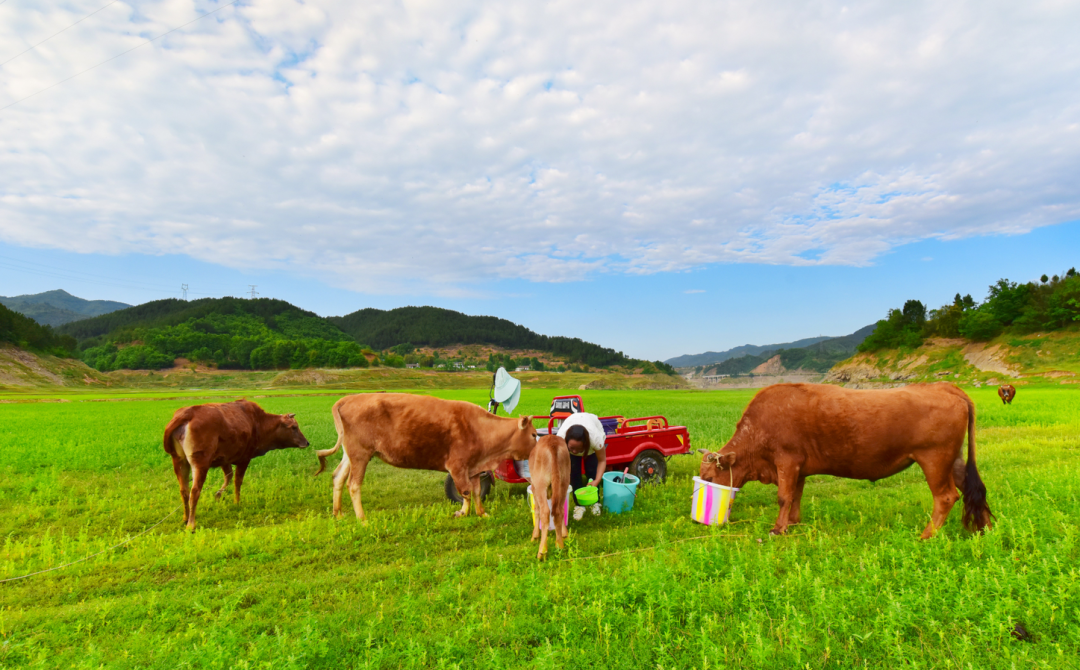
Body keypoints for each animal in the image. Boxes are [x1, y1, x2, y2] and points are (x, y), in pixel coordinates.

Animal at [162, 399, 311, 531]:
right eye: (294, 427)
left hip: (179, 460)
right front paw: (237, 502)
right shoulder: (244, 458)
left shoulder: (224, 459)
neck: (258, 422)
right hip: (200, 462)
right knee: (194, 491)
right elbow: (237, 481)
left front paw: (218, 495)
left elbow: (228, 476)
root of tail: (188, 413)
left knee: (184, 490)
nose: (307, 442)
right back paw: (191, 524)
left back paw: (185, 518)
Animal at [315, 395, 537, 520]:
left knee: (338, 477)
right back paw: (362, 518)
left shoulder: (474, 467)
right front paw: (462, 513)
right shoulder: (457, 465)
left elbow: (475, 492)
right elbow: (465, 492)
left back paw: (338, 513)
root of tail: (346, 399)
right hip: (360, 453)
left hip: (350, 454)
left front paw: (482, 513)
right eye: (534, 435)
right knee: (353, 484)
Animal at [695, 382, 989, 538]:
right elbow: (796, 495)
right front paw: (793, 522)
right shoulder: (799, 467)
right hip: (954, 460)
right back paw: (985, 529)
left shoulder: (786, 461)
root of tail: (944, 386)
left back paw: (927, 535)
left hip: (934, 458)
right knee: (974, 489)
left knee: (946, 496)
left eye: (709, 478)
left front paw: (778, 529)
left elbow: (783, 496)